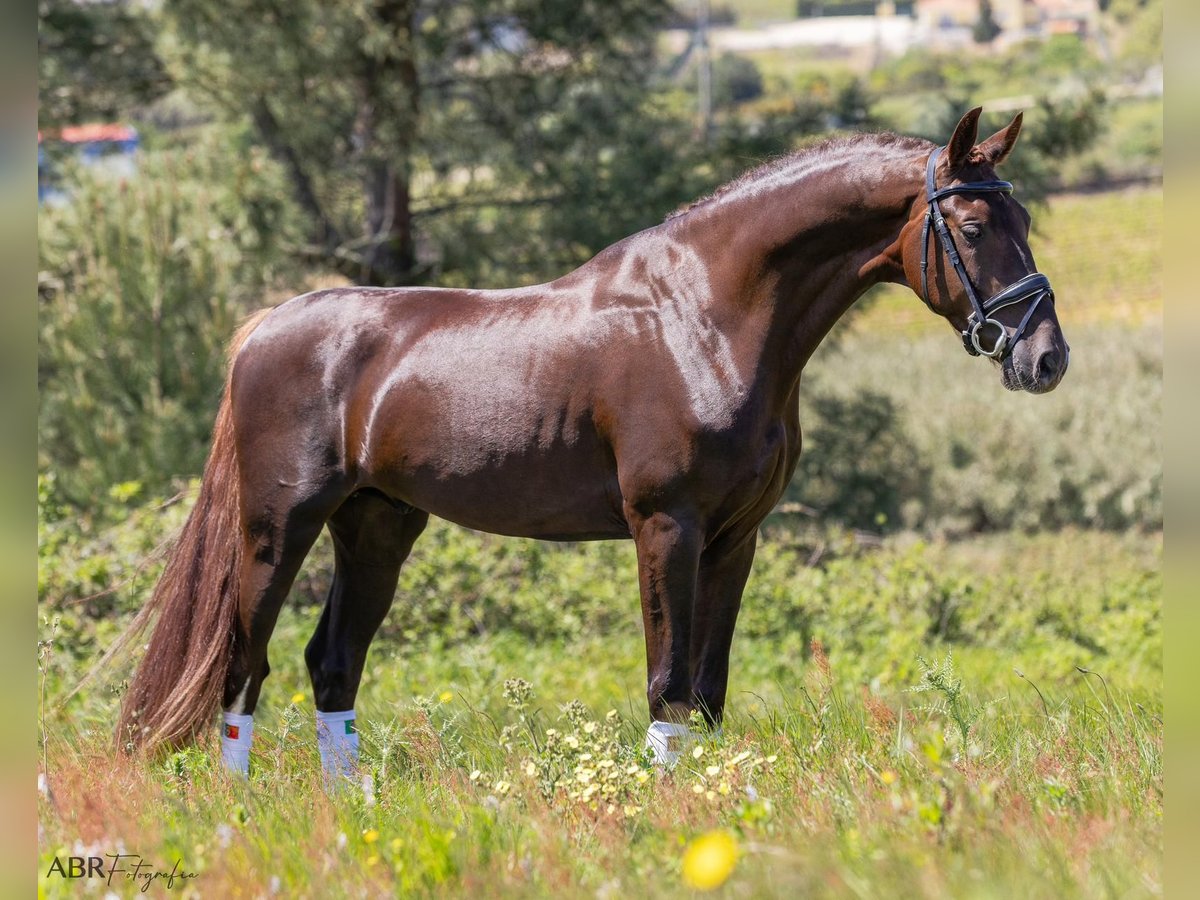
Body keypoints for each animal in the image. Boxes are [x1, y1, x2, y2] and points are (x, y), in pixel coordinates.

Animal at [114, 107, 1070, 768]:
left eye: (1027, 222)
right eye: (974, 227)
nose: (1046, 357)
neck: (705, 317)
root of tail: (266, 327)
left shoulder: (736, 538)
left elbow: (709, 692)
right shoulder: (665, 526)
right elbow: (667, 685)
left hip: (378, 522)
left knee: (332, 662)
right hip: (279, 527)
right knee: (243, 664)